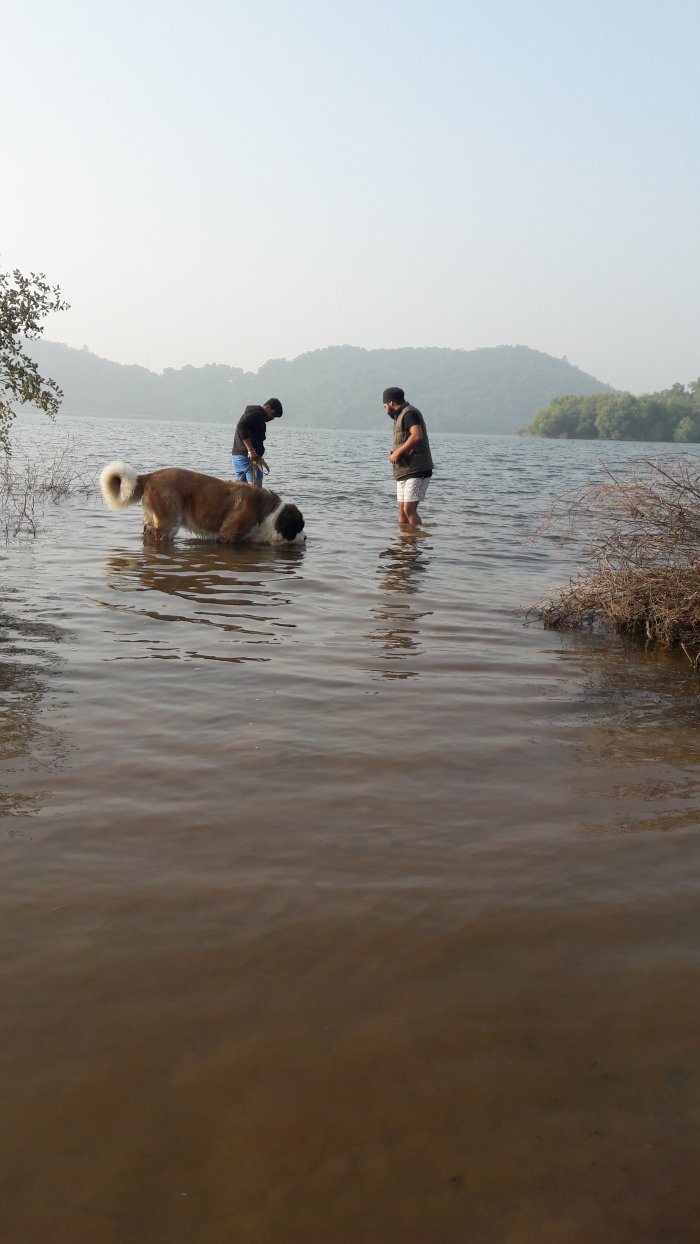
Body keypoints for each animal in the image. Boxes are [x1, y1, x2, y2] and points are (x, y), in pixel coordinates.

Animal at [100, 462, 305, 544]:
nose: (305, 538)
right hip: (169, 522)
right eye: (299, 526)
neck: (271, 515)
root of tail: (151, 475)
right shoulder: (228, 536)